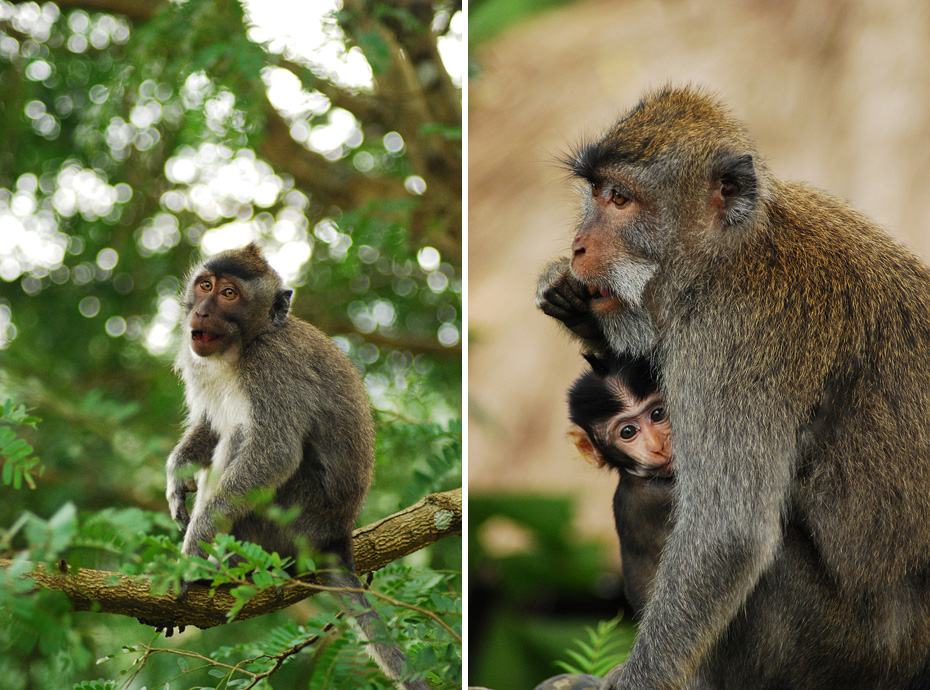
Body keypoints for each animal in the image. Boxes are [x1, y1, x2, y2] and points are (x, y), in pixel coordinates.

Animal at [165, 242, 430, 688]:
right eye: (205, 286)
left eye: (229, 294)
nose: (200, 311)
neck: (245, 345)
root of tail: (337, 535)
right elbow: (209, 425)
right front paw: (175, 476)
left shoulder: (273, 368)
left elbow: (275, 451)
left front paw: (194, 549)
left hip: (293, 517)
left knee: (243, 441)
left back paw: (226, 566)